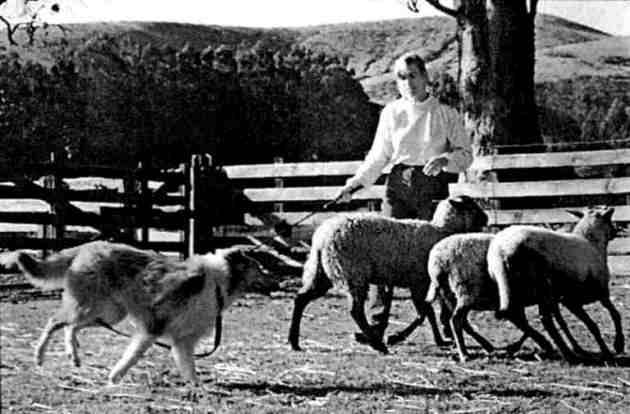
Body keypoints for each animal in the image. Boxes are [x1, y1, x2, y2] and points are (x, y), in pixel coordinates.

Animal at [288, 194, 492, 352]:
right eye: (471, 205)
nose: (487, 218)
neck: (442, 229)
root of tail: (320, 238)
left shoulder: (420, 283)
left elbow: (427, 313)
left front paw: (439, 340)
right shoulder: (419, 282)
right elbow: (424, 313)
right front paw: (396, 337)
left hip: (323, 271)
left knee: (301, 298)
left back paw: (294, 342)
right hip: (353, 273)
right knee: (355, 311)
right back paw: (377, 344)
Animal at [488, 207, 624, 362]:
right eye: (609, 219)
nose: (616, 230)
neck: (591, 241)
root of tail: (501, 251)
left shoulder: (566, 300)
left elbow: (569, 323)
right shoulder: (597, 293)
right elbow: (612, 315)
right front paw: (615, 346)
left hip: (514, 288)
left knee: (516, 316)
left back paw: (548, 345)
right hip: (541, 285)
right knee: (545, 319)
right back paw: (567, 353)